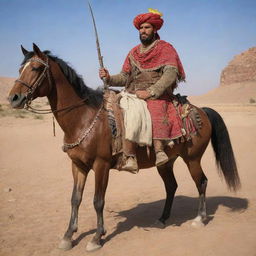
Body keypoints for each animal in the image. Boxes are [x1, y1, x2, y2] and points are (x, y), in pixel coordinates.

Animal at [8, 44, 240, 252]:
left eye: (35, 68)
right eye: (20, 70)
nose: (13, 98)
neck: (84, 118)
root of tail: (202, 111)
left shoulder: (101, 166)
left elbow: (98, 201)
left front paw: (96, 238)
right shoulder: (78, 165)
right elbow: (75, 199)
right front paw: (67, 236)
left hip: (192, 158)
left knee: (201, 182)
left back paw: (200, 219)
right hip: (166, 162)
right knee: (171, 186)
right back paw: (162, 219)